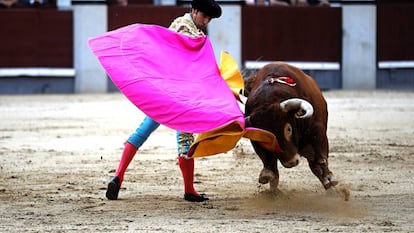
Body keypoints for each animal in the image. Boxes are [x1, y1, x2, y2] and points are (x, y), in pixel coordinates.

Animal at [244, 61, 338, 190]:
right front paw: (268, 175)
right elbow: (267, 159)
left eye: (289, 129)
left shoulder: (316, 129)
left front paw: (328, 177)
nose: (291, 162)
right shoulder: (255, 138)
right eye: (266, 139)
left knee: (314, 164)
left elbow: (320, 157)